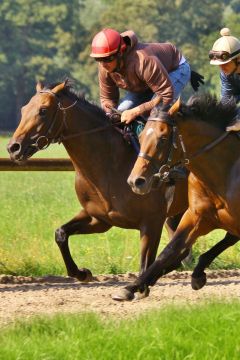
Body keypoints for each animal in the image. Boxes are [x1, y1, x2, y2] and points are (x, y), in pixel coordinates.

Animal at [6, 81, 188, 298]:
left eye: (43, 111)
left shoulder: (151, 221)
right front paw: (81, 273)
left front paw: (137, 287)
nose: (13, 147)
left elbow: (146, 262)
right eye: (23, 109)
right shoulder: (100, 219)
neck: (110, 163)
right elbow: (61, 233)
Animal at [124, 93, 239, 298]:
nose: (135, 181)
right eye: (141, 135)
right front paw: (134, 285)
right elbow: (171, 249)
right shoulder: (196, 216)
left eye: (162, 139)